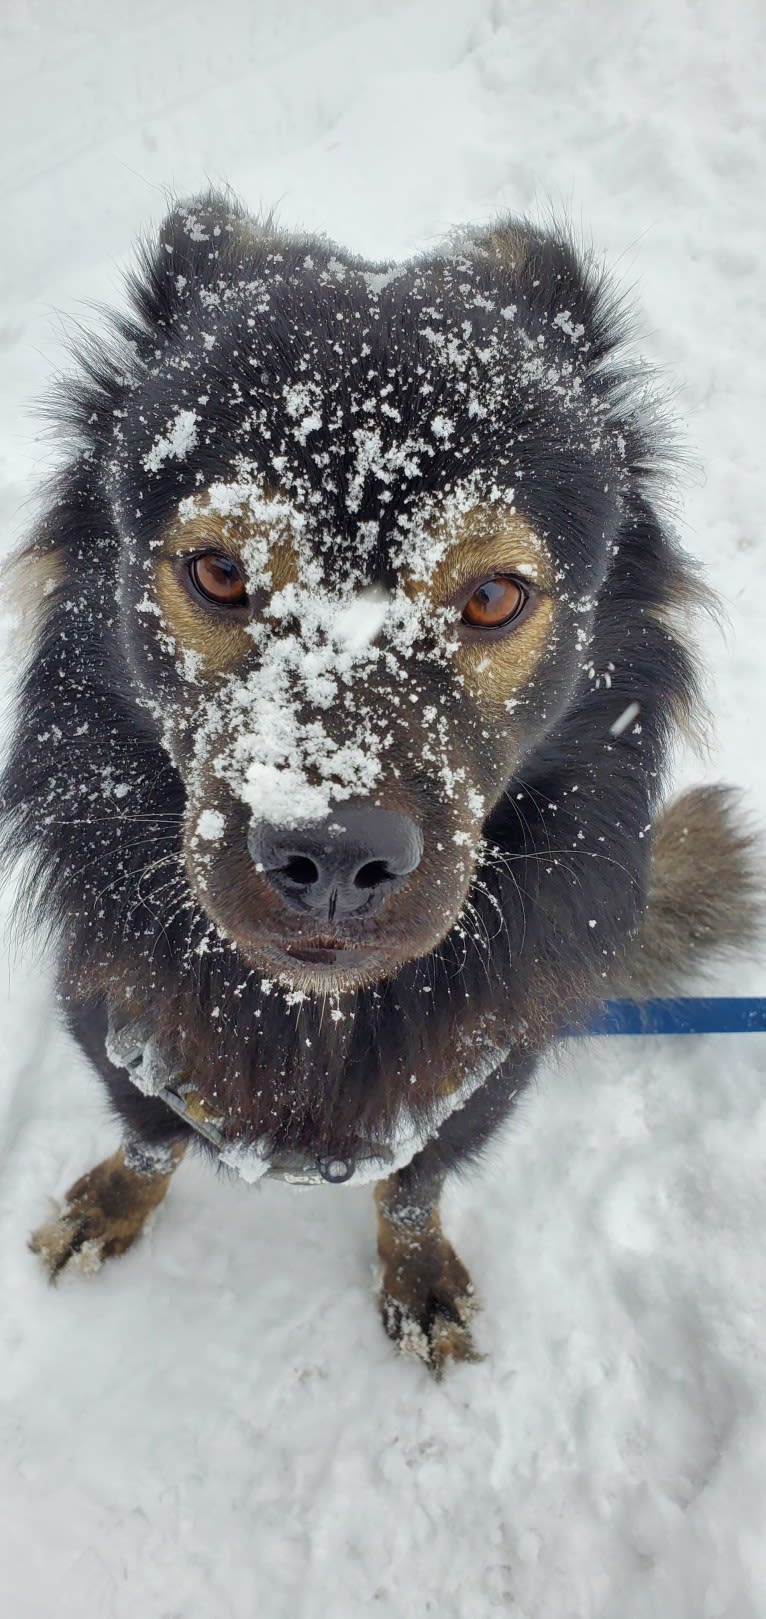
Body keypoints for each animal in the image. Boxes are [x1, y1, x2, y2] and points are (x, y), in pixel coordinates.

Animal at [0, 192, 751, 1379]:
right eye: (219, 572)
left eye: (492, 595)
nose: (335, 856)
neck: (311, 1018)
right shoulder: (115, 1021)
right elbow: (148, 1138)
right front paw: (110, 1202)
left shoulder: (489, 1074)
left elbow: (412, 1186)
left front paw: (418, 1274)